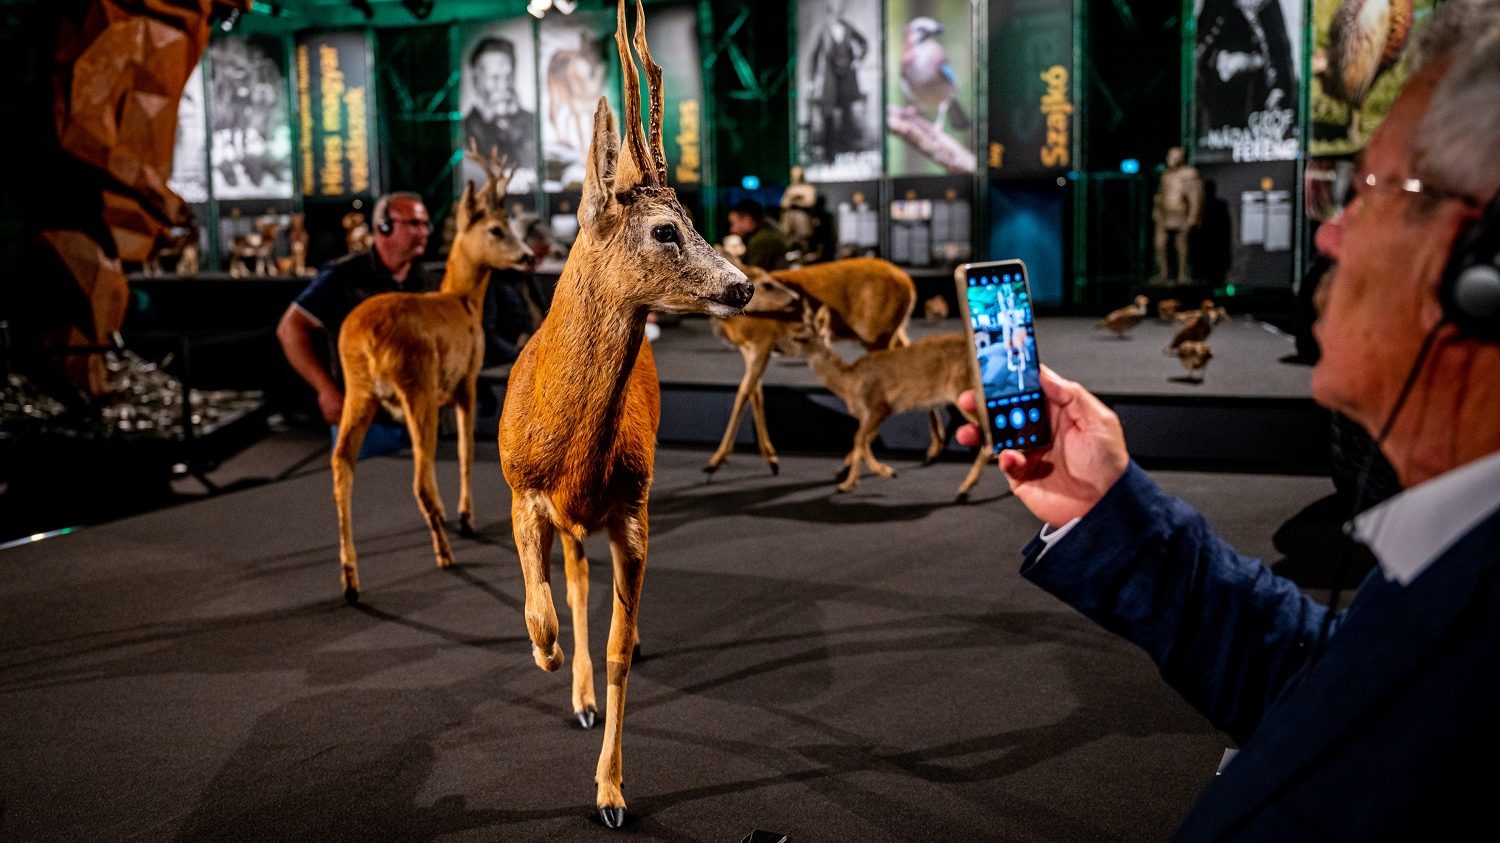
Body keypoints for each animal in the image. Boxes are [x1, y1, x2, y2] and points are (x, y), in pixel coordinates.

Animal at [331, 146, 531, 603]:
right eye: (496, 229)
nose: (528, 257)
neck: (462, 300)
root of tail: (366, 339)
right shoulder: (467, 380)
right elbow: (466, 450)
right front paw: (467, 517)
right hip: (415, 384)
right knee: (420, 481)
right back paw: (444, 552)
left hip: (359, 389)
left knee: (342, 463)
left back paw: (351, 580)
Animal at [495, 0, 750, 828]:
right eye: (665, 229)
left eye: (695, 220)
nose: (742, 285)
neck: (572, 454)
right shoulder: (521, 489)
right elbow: (542, 605)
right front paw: (545, 654)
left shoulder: (632, 512)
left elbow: (613, 647)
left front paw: (610, 792)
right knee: (570, 582)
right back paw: (566, 682)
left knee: (587, 587)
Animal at [705, 256, 924, 477]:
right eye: (767, 284)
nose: (796, 299)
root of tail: (910, 285)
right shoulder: (749, 349)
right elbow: (756, 395)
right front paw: (771, 459)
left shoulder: (762, 344)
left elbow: (743, 393)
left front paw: (716, 460)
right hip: (891, 333)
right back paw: (928, 451)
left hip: (878, 336)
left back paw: (851, 464)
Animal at [780, 303, 990, 495]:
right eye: (794, 330)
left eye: (801, 338)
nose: (778, 348)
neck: (850, 382)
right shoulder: (870, 414)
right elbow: (862, 440)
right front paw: (854, 478)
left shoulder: (879, 405)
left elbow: (859, 439)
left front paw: (858, 480)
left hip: (963, 391)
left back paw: (964, 488)